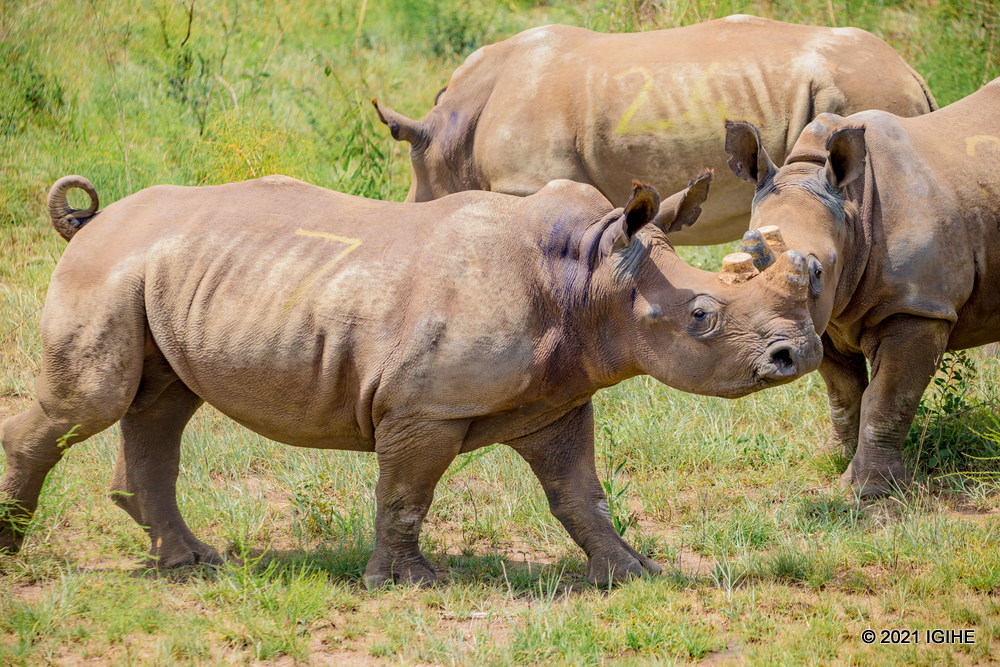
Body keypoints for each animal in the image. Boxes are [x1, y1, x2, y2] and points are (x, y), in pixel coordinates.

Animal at [0, 172, 821, 586]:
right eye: (702, 316)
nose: (800, 354)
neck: (591, 277)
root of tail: (92, 222)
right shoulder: (425, 404)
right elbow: (406, 493)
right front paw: (407, 582)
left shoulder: (559, 399)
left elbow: (579, 494)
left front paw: (632, 572)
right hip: (109, 268)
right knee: (94, 401)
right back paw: (16, 549)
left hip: (165, 273)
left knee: (163, 403)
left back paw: (192, 563)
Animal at [724, 77, 1000, 497]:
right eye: (740, 268)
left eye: (818, 272)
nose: (777, 356)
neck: (852, 211)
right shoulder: (824, 321)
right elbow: (844, 394)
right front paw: (832, 459)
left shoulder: (917, 307)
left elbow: (887, 400)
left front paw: (866, 491)